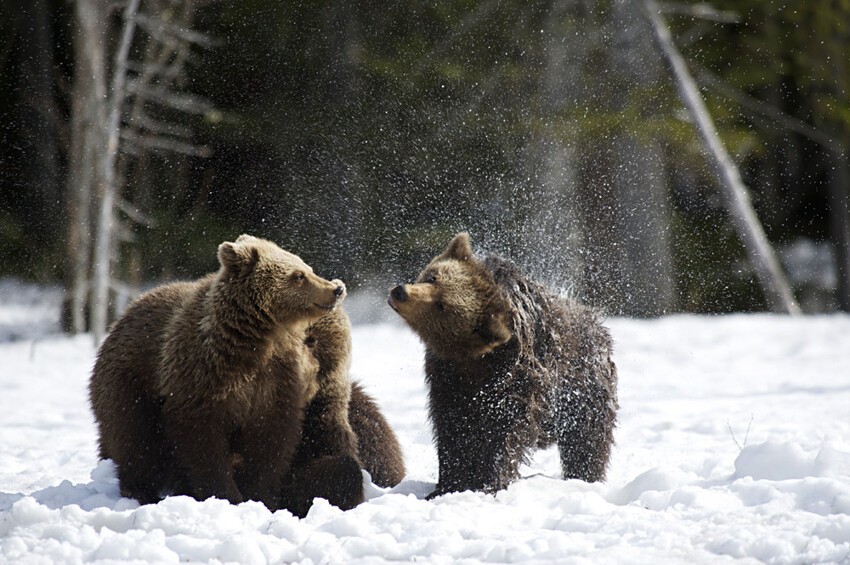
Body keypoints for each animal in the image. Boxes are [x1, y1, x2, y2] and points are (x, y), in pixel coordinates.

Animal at [89, 235, 404, 516]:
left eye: (312, 340)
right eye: (298, 275)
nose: (335, 289)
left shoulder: (292, 403)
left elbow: (306, 454)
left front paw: (264, 495)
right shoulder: (202, 378)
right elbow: (202, 439)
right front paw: (226, 494)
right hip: (130, 383)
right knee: (135, 439)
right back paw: (141, 491)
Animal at [386, 231, 616, 496]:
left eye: (441, 306)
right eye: (432, 277)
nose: (401, 292)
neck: (476, 361)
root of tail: (597, 323)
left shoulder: (516, 378)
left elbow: (504, 431)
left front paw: (489, 481)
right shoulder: (447, 377)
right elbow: (451, 426)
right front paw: (447, 483)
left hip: (583, 389)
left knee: (587, 439)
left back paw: (584, 476)